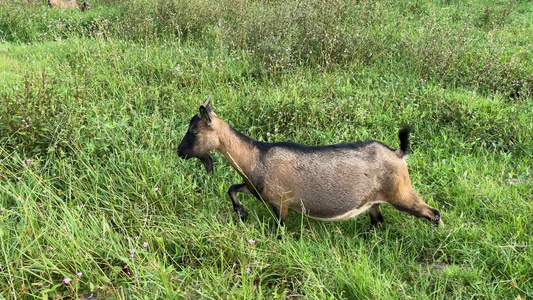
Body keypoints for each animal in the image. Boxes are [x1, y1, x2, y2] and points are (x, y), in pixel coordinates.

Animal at [177, 99, 442, 229]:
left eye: (193, 130)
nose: (179, 151)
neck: (256, 158)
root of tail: (398, 153)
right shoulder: (255, 189)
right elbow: (232, 189)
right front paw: (241, 213)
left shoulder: (280, 202)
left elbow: (280, 229)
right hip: (375, 200)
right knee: (378, 220)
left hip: (401, 193)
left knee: (433, 213)